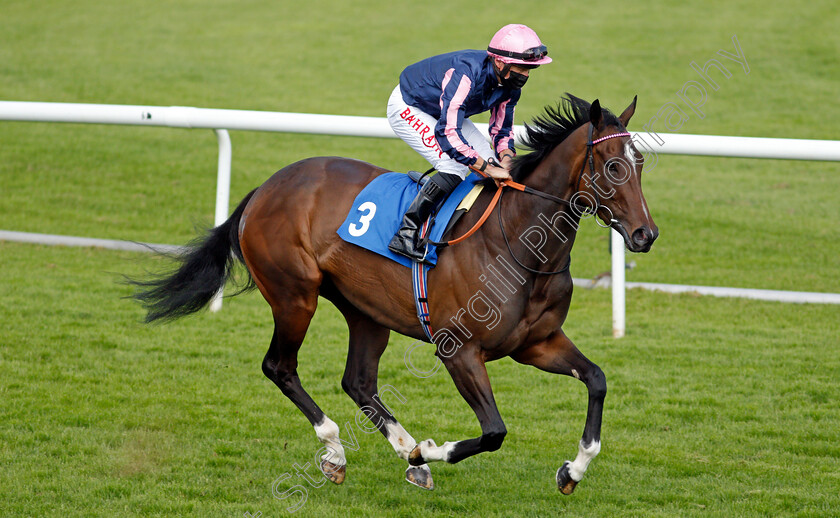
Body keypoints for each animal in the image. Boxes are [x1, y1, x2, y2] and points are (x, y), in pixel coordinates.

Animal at [130, 95, 656, 498]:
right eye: (613, 165)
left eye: (641, 163)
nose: (645, 235)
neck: (519, 243)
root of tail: (266, 187)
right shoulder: (458, 349)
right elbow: (494, 432)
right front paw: (430, 449)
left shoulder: (537, 343)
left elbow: (597, 380)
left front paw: (573, 470)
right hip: (294, 296)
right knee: (280, 367)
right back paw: (340, 450)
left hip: (366, 310)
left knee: (358, 382)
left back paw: (404, 451)